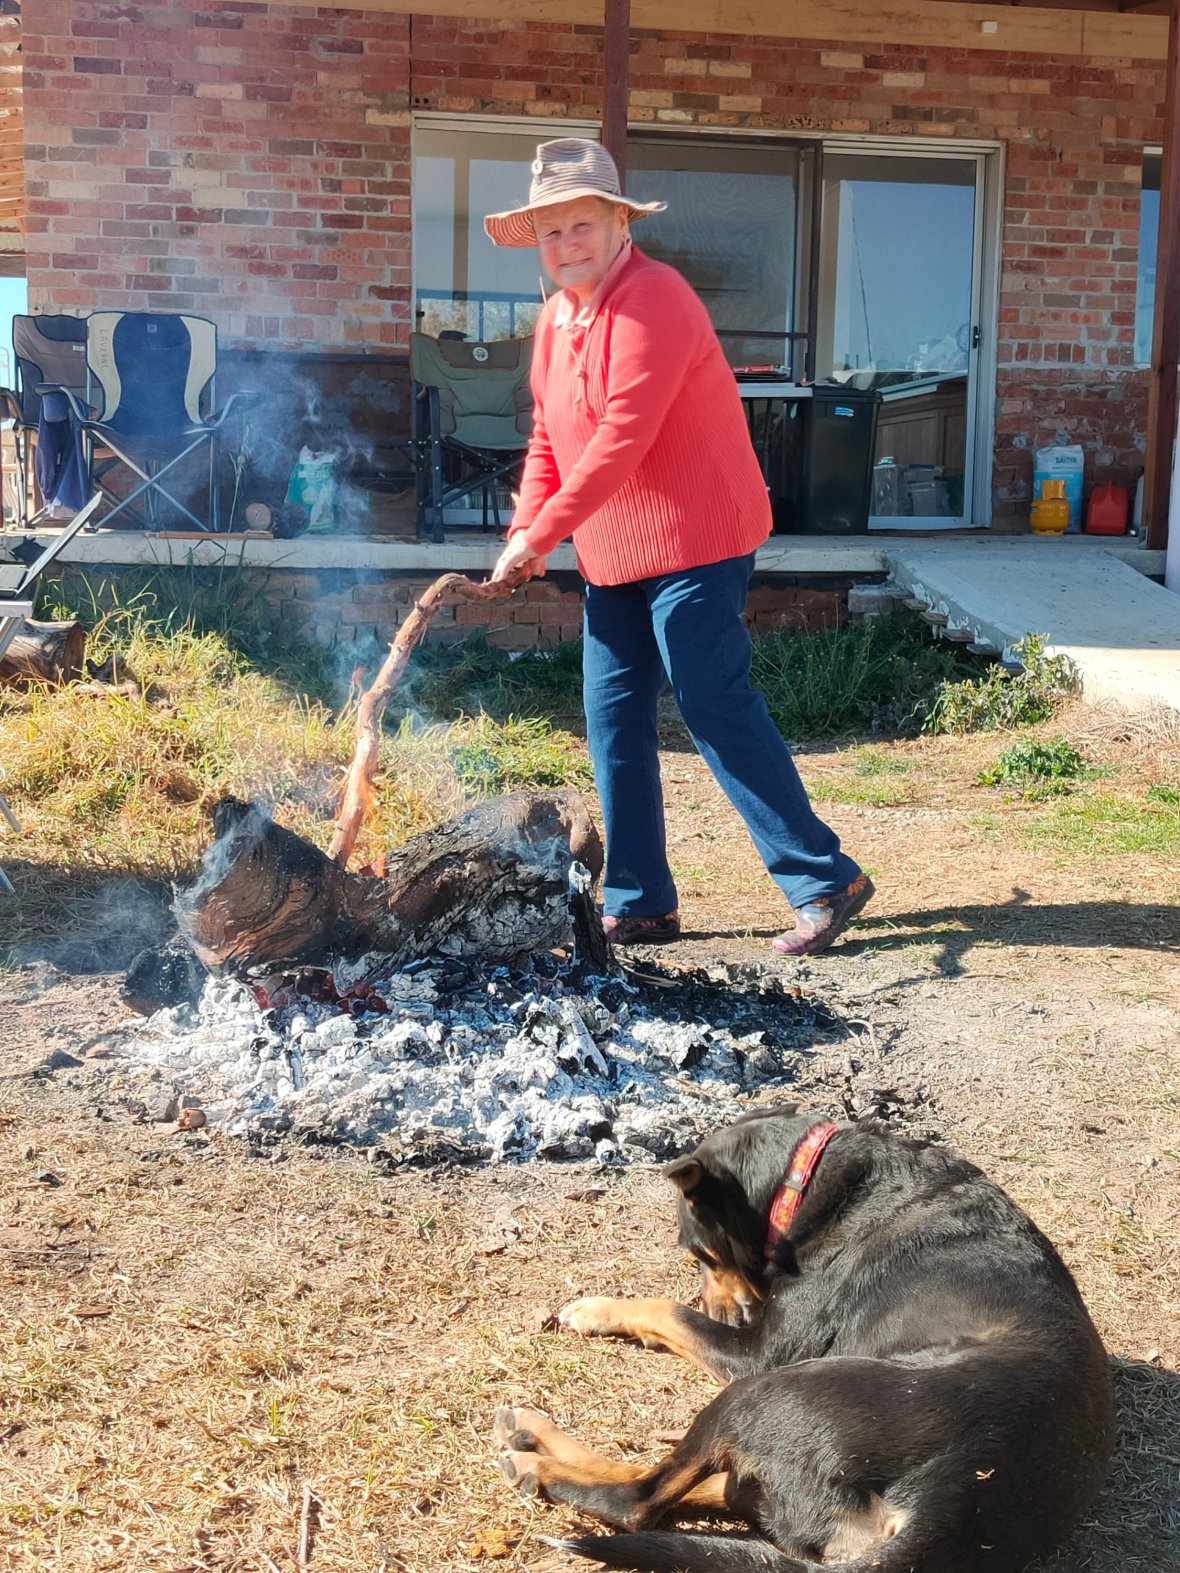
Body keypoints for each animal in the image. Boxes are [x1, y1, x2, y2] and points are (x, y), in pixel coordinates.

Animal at [493, 1106, 1114, 1572]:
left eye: (698, 1254)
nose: (730, 1309)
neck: (804, 1181)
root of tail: (953, 1500)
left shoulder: (756, 1354)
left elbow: (667, 1310)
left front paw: (596, 1308)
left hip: (763, 1392)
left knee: (642, 1501)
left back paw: (537, 1463)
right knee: (718, 1487)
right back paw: (530, 1434)